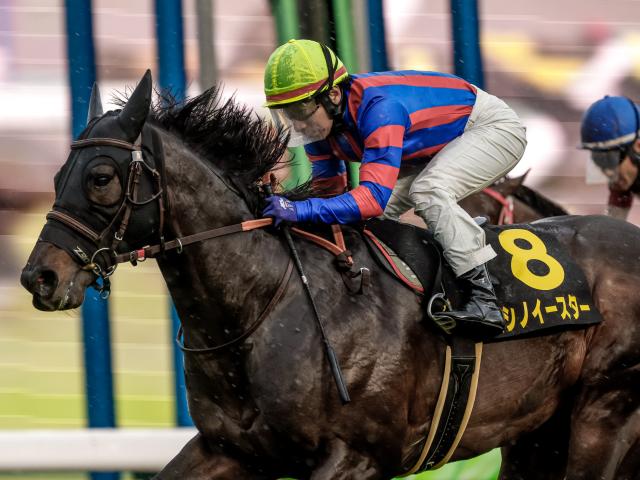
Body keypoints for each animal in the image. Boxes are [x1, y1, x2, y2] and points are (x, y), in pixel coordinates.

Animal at [20, 71, 640, 479]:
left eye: (101, 177)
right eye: (56, 174)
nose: (39, 277)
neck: (261, 306)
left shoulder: (357, 457)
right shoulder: (229, 449)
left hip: (602, 412)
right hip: (536, 433)